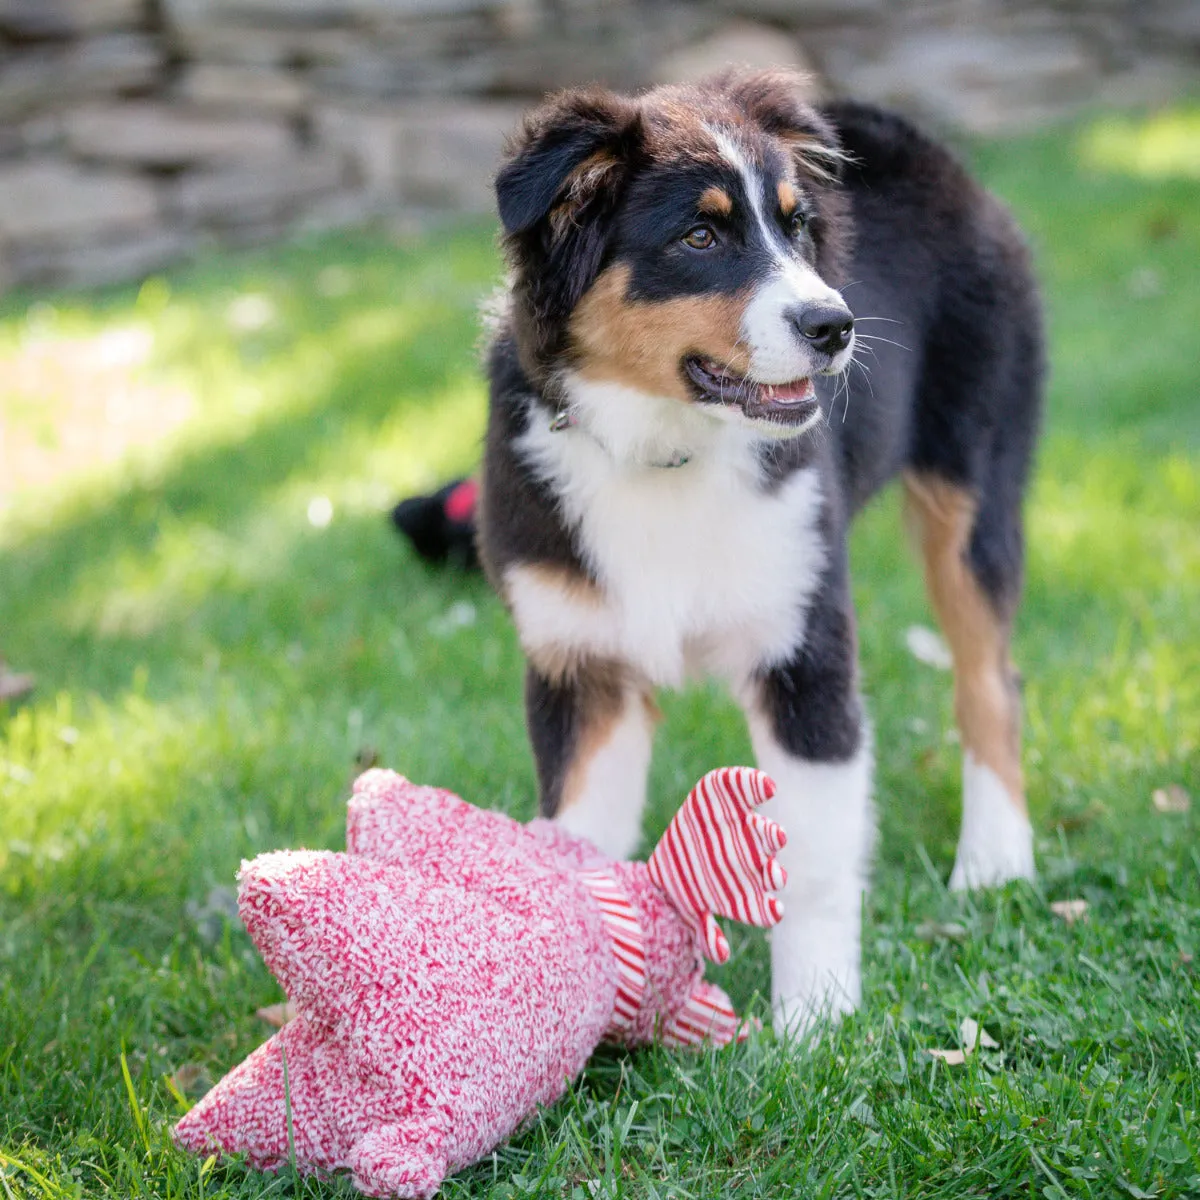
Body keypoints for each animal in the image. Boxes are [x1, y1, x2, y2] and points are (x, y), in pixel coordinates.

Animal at [470, 70, 1041, 1036]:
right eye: (700, 237)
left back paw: (996, 858)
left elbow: (808, 858)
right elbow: (578, 846)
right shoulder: (580, 665)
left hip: (972, 486)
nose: (835, 325)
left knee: (989, 680)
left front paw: (817, 1020)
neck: (665, 450)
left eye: (797, 226)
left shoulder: (804, 647)